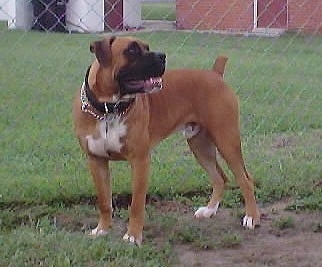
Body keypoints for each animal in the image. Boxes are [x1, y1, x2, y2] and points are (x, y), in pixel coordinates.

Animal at [71, 36, 260, 247]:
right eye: (132, 50)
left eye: (147, 47)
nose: (162, 56)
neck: (108, 109)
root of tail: (215, 74)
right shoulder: (96, 161)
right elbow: (104, 201)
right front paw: (102, 229)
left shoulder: (140, 162)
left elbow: (136, 204)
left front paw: (133, 236)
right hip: (199, 145)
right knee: (220, 178)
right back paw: (209, 210)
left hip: (226, 140)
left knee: (245, 179)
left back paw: (251, 217)